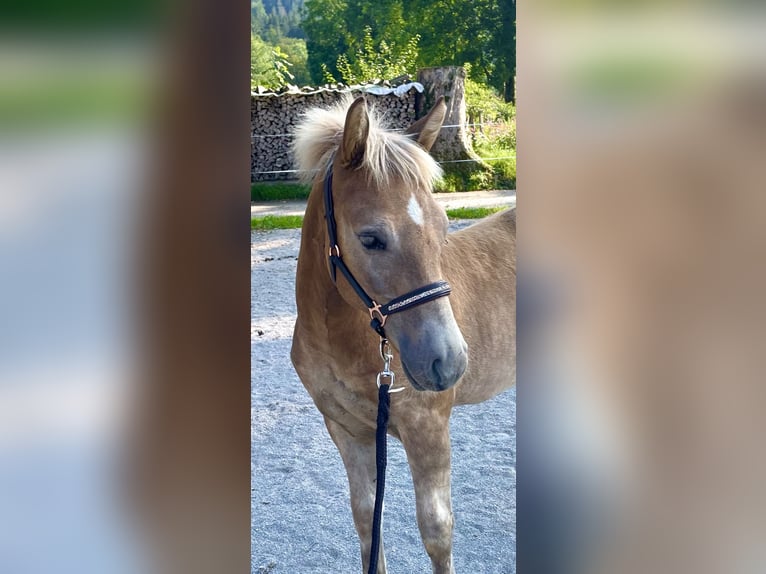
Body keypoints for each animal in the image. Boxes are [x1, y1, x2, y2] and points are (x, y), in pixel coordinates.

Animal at [292, 97, 520, 572]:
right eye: (371, 239)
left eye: (443, 227)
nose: (448, 362)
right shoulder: (348, 431)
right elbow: (368, 524)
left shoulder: (427, 428)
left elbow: (436, 531)